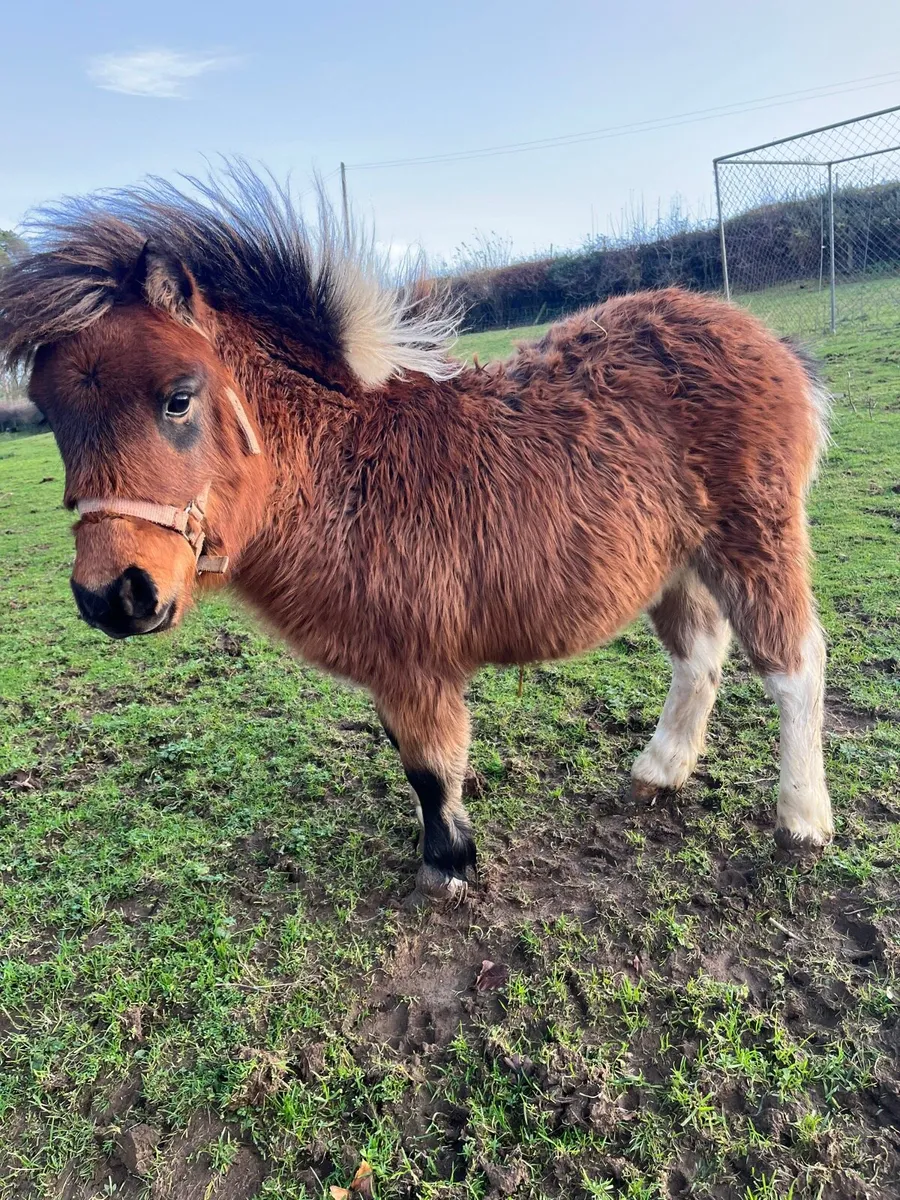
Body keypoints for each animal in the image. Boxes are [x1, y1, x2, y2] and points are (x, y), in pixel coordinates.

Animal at [0, 166, 833, 905]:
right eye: (49, 414)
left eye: (178, 398)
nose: (114, 596)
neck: (343, 472)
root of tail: (762, 339)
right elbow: (415, 759)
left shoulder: (415, 664)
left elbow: (430, 767)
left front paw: (448, 865)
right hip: (677, 562)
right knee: (700, 657)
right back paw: (660, 772)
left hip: (755, 540)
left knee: (794, 665)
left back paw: (802, 822)